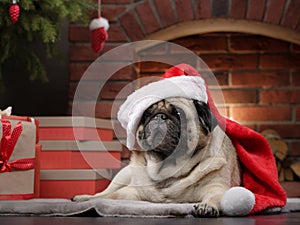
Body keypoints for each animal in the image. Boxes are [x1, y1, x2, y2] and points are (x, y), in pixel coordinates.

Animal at [73, 96, 241, 216]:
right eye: (147, 114)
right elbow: (110, 196)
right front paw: (90, 201)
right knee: (105, 191)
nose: (159, 116)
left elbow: (214, 196)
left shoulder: (216, 187)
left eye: (178, 113)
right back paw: (84, 197)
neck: (167, 167)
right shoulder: (131, 191)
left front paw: (207, 206)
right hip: (123, 176)